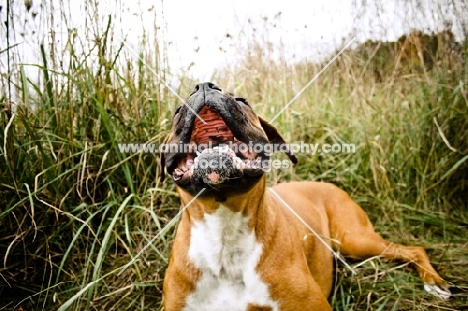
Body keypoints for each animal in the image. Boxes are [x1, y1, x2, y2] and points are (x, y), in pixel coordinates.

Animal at [160, 81, 450, 310]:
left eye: (243, 101)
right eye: (176, 111)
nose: (205, 86)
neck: (223, 235)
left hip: (354, 239)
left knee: (413, 249)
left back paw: (435, 283)